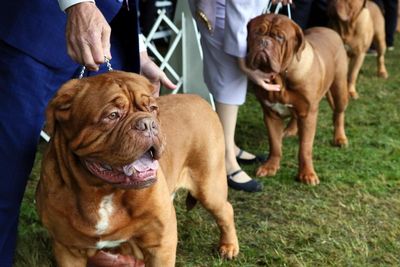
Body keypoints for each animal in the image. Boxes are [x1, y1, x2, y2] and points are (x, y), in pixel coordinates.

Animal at [35, 71, 238, 267]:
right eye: (112, 115)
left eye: (153, 108)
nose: (148, 124)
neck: (103, 192)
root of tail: (200, 99)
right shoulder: (67, 248)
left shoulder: (161, 244)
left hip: (209, 185)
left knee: (225, 210)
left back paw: (229, 247)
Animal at [245, 14, 348, 186]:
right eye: (257, 32)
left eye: (279, 37)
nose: (264, 41)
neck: (281, 76)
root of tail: (330, 30)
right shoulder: (271, 115)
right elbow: (275, 144)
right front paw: (270, 166)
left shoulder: (308, 115)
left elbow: (305, 148)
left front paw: (307, 174)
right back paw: (291, 130)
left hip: (340, 88)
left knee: (338, 113)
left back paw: (339, 138)